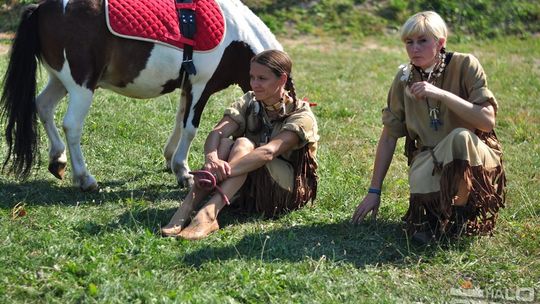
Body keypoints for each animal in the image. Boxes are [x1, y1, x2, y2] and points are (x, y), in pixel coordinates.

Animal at [1, 0, 282, 190]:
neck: (235, 37)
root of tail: (41, 8)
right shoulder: (201, 86)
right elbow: (190, 128)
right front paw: (184, 172)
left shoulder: (187, 86)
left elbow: (179, 121)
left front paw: (171, 160)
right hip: (82, 87)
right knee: (71, 125)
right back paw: (84, 178)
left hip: (59, 81)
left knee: (43, 106)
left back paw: (57, 161)